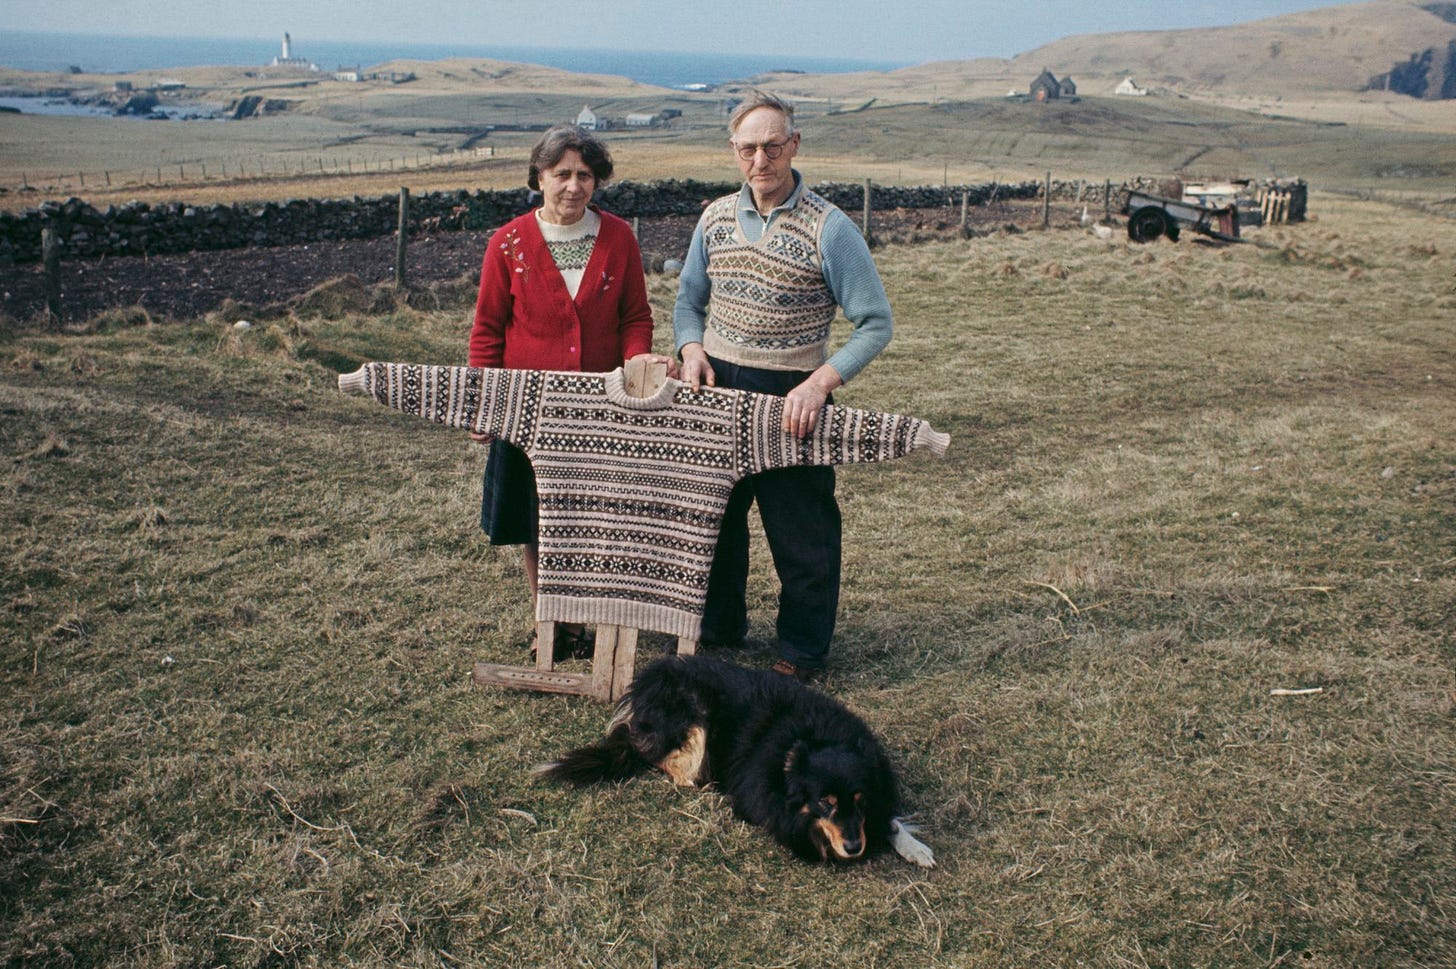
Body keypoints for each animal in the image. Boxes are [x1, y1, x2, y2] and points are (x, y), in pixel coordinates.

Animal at [535, 651, 931, 861]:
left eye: (861, 801)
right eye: (824, 803)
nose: (853, 847)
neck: (815, 735)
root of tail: (642, 685)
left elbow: (891, 819)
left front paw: (914, 848)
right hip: (695, 716)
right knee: (663, 759)